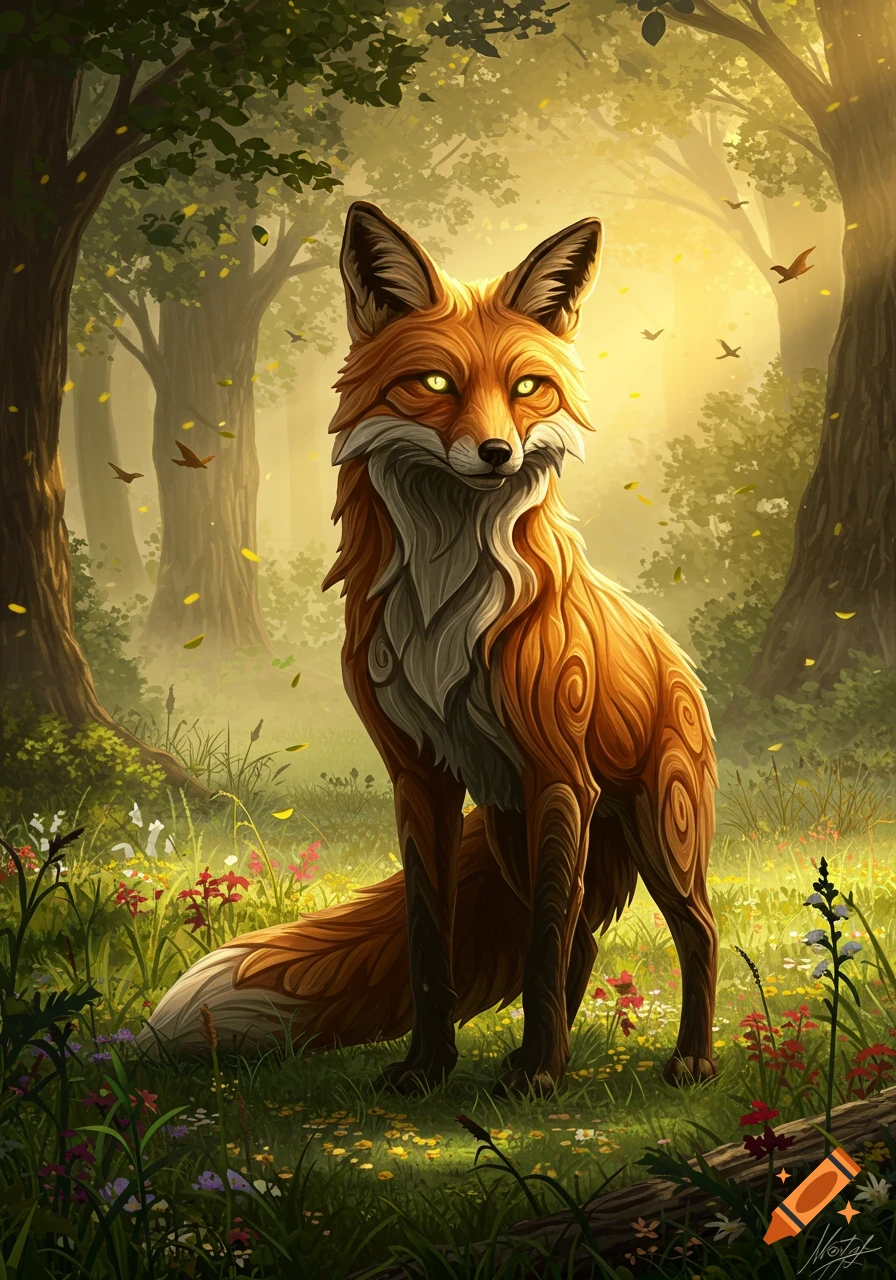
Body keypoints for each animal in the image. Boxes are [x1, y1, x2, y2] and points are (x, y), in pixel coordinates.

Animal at [138, 202, 719, 1096]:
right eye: (436, 384)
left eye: (526, 388)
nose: (497, 454)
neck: (445, 601)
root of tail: (676, 658)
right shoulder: (420, 779)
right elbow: (432, 941)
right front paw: (429, 1069)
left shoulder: (557, 772)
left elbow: (542, 942)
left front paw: (538, 1080)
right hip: (518, 837)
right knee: (580, 938)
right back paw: (537, 1054)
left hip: (658, 830)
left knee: (695, 932)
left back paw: (683, 1060)